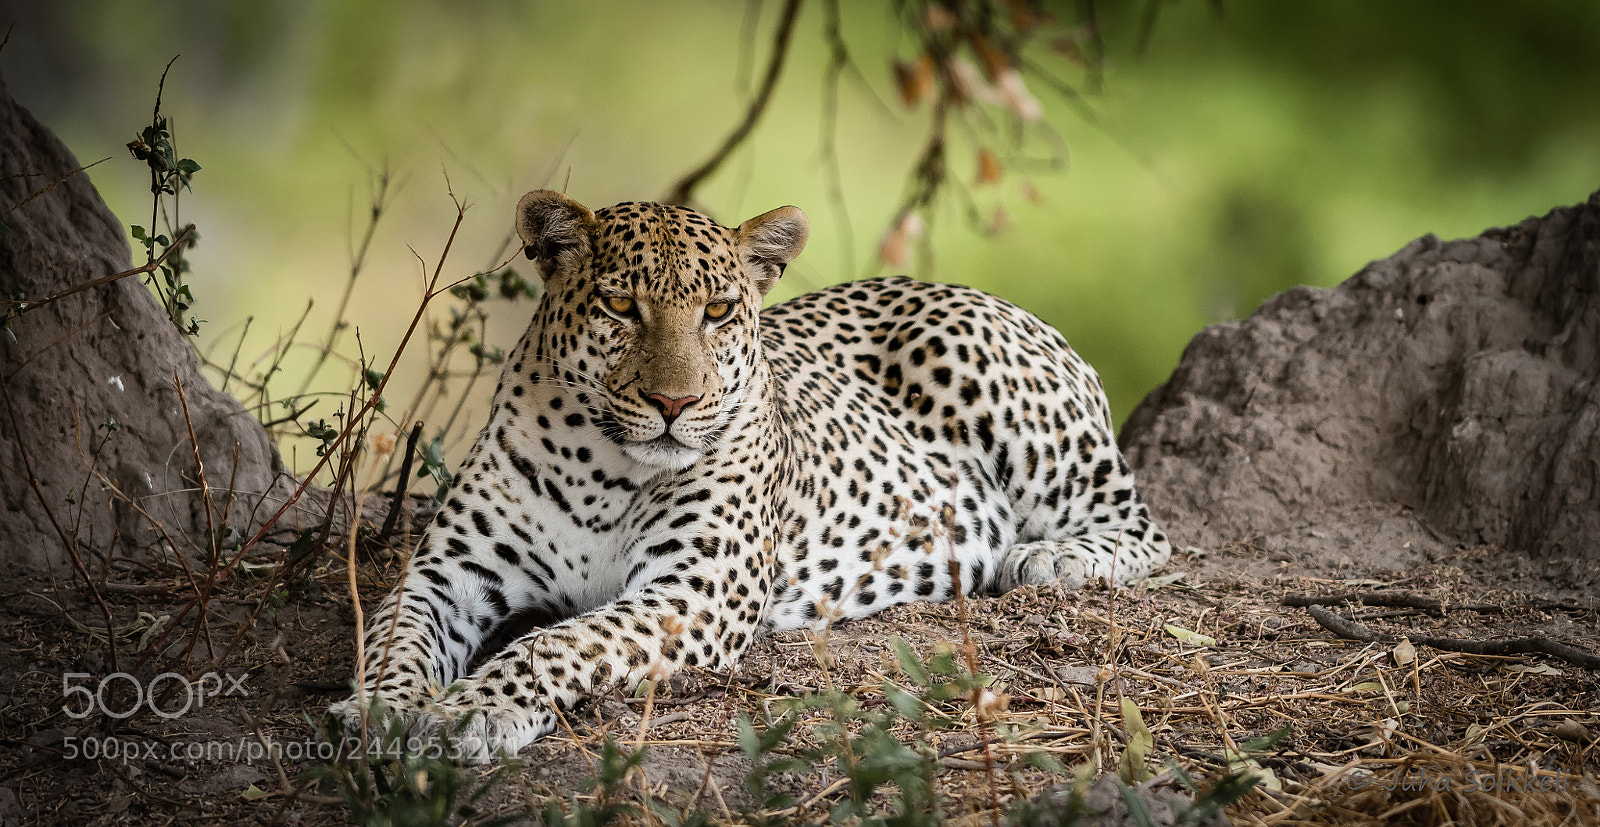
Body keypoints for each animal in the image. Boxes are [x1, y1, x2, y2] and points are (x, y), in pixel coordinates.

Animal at [330, 190, 1172, 760]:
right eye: (619, 304)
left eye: (719, 310)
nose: (674, 401)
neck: (598, 464)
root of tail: (986, 294)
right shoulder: (447, 571)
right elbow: (395, 636)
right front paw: (378, 708)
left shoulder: (693, 594)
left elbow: (560, 642)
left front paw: (470, 712)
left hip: (985, 372)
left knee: (1146, 528)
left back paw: (1049, 557)